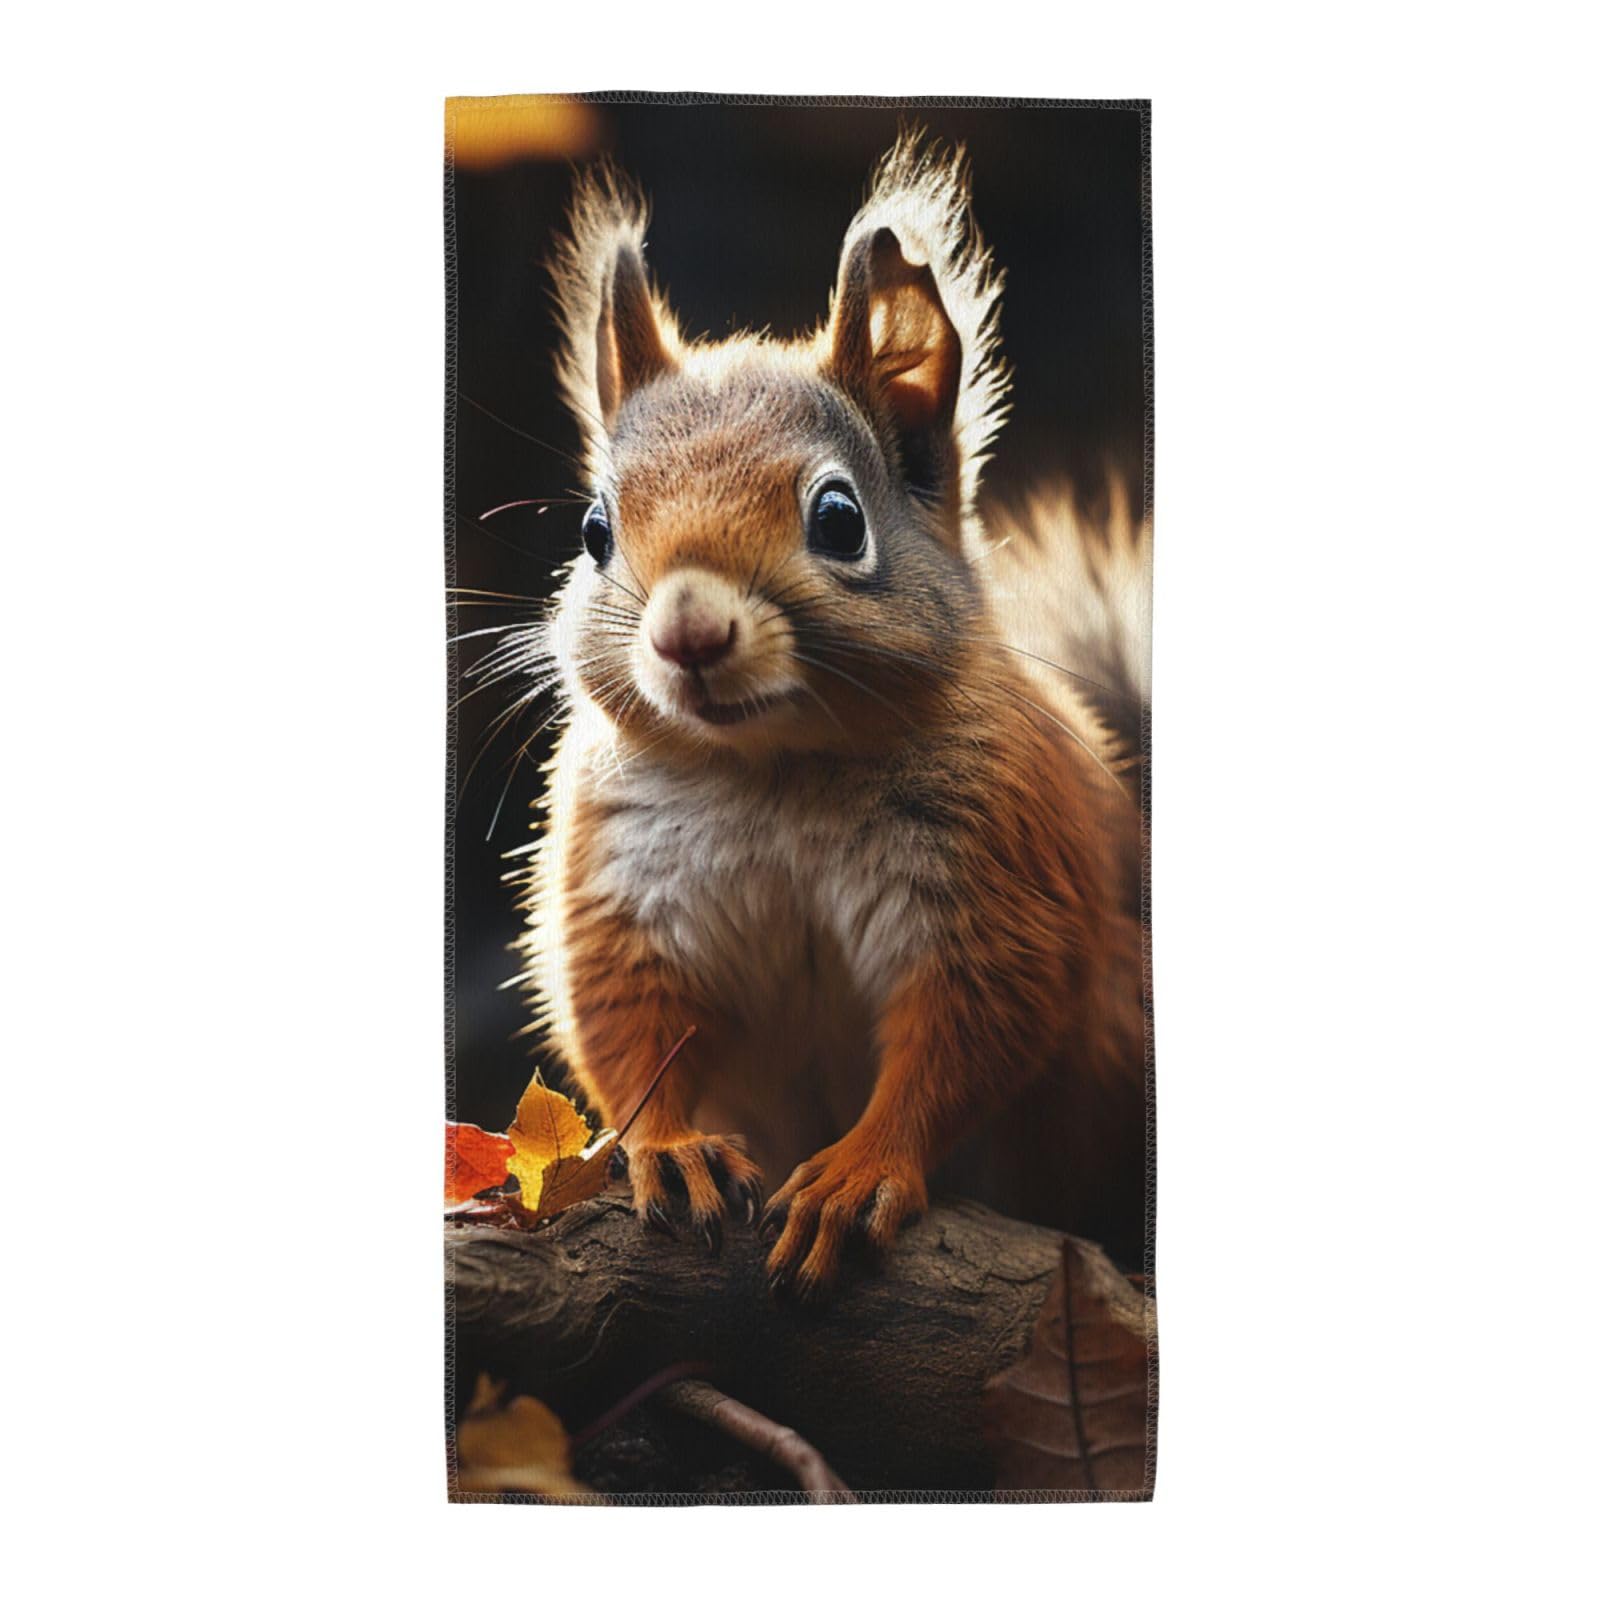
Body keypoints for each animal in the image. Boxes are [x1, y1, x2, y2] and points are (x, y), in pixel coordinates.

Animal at [506, 132, 1151, 1299]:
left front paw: (857, 1171)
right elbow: (629, 1028)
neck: (773, 770)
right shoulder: (619, 888)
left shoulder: (997, 879)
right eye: (593, 530)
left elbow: (964, 1035)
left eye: (840, 519)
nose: (688, 634)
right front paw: (669, 1147)